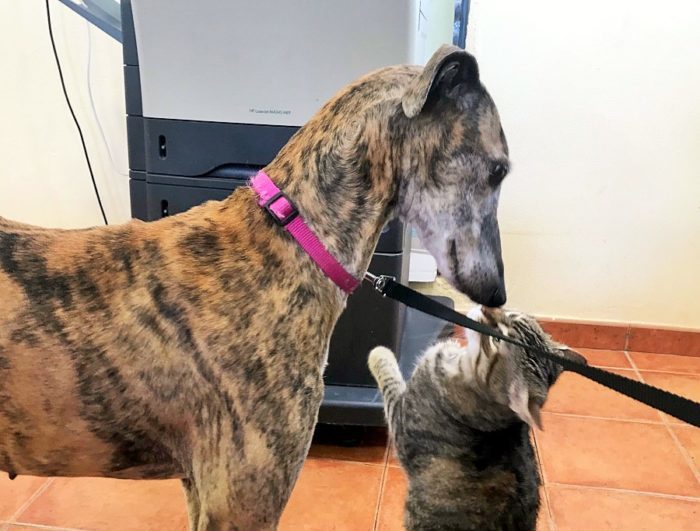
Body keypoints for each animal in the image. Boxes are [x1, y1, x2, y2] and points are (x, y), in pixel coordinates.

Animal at [368, 305, 586, 531]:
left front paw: (379, 352)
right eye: (511, 316)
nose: (486, 309)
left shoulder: (401, 419)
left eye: (497, 340)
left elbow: (389, 379)